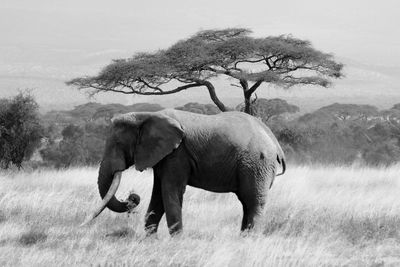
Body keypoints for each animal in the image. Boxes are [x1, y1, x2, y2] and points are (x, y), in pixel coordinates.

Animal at [83, 108, 284, 236]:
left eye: (117, 144)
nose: (133, 197)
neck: (146, 115)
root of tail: (275, 143)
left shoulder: (177, 154)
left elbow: (170, 191)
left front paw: (177, 241)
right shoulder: (164, 155)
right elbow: (158, 195)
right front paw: (150, 240)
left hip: (257, 162)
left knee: (253, 201)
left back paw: (249, 238)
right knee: (246, 202)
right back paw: (243, 237)